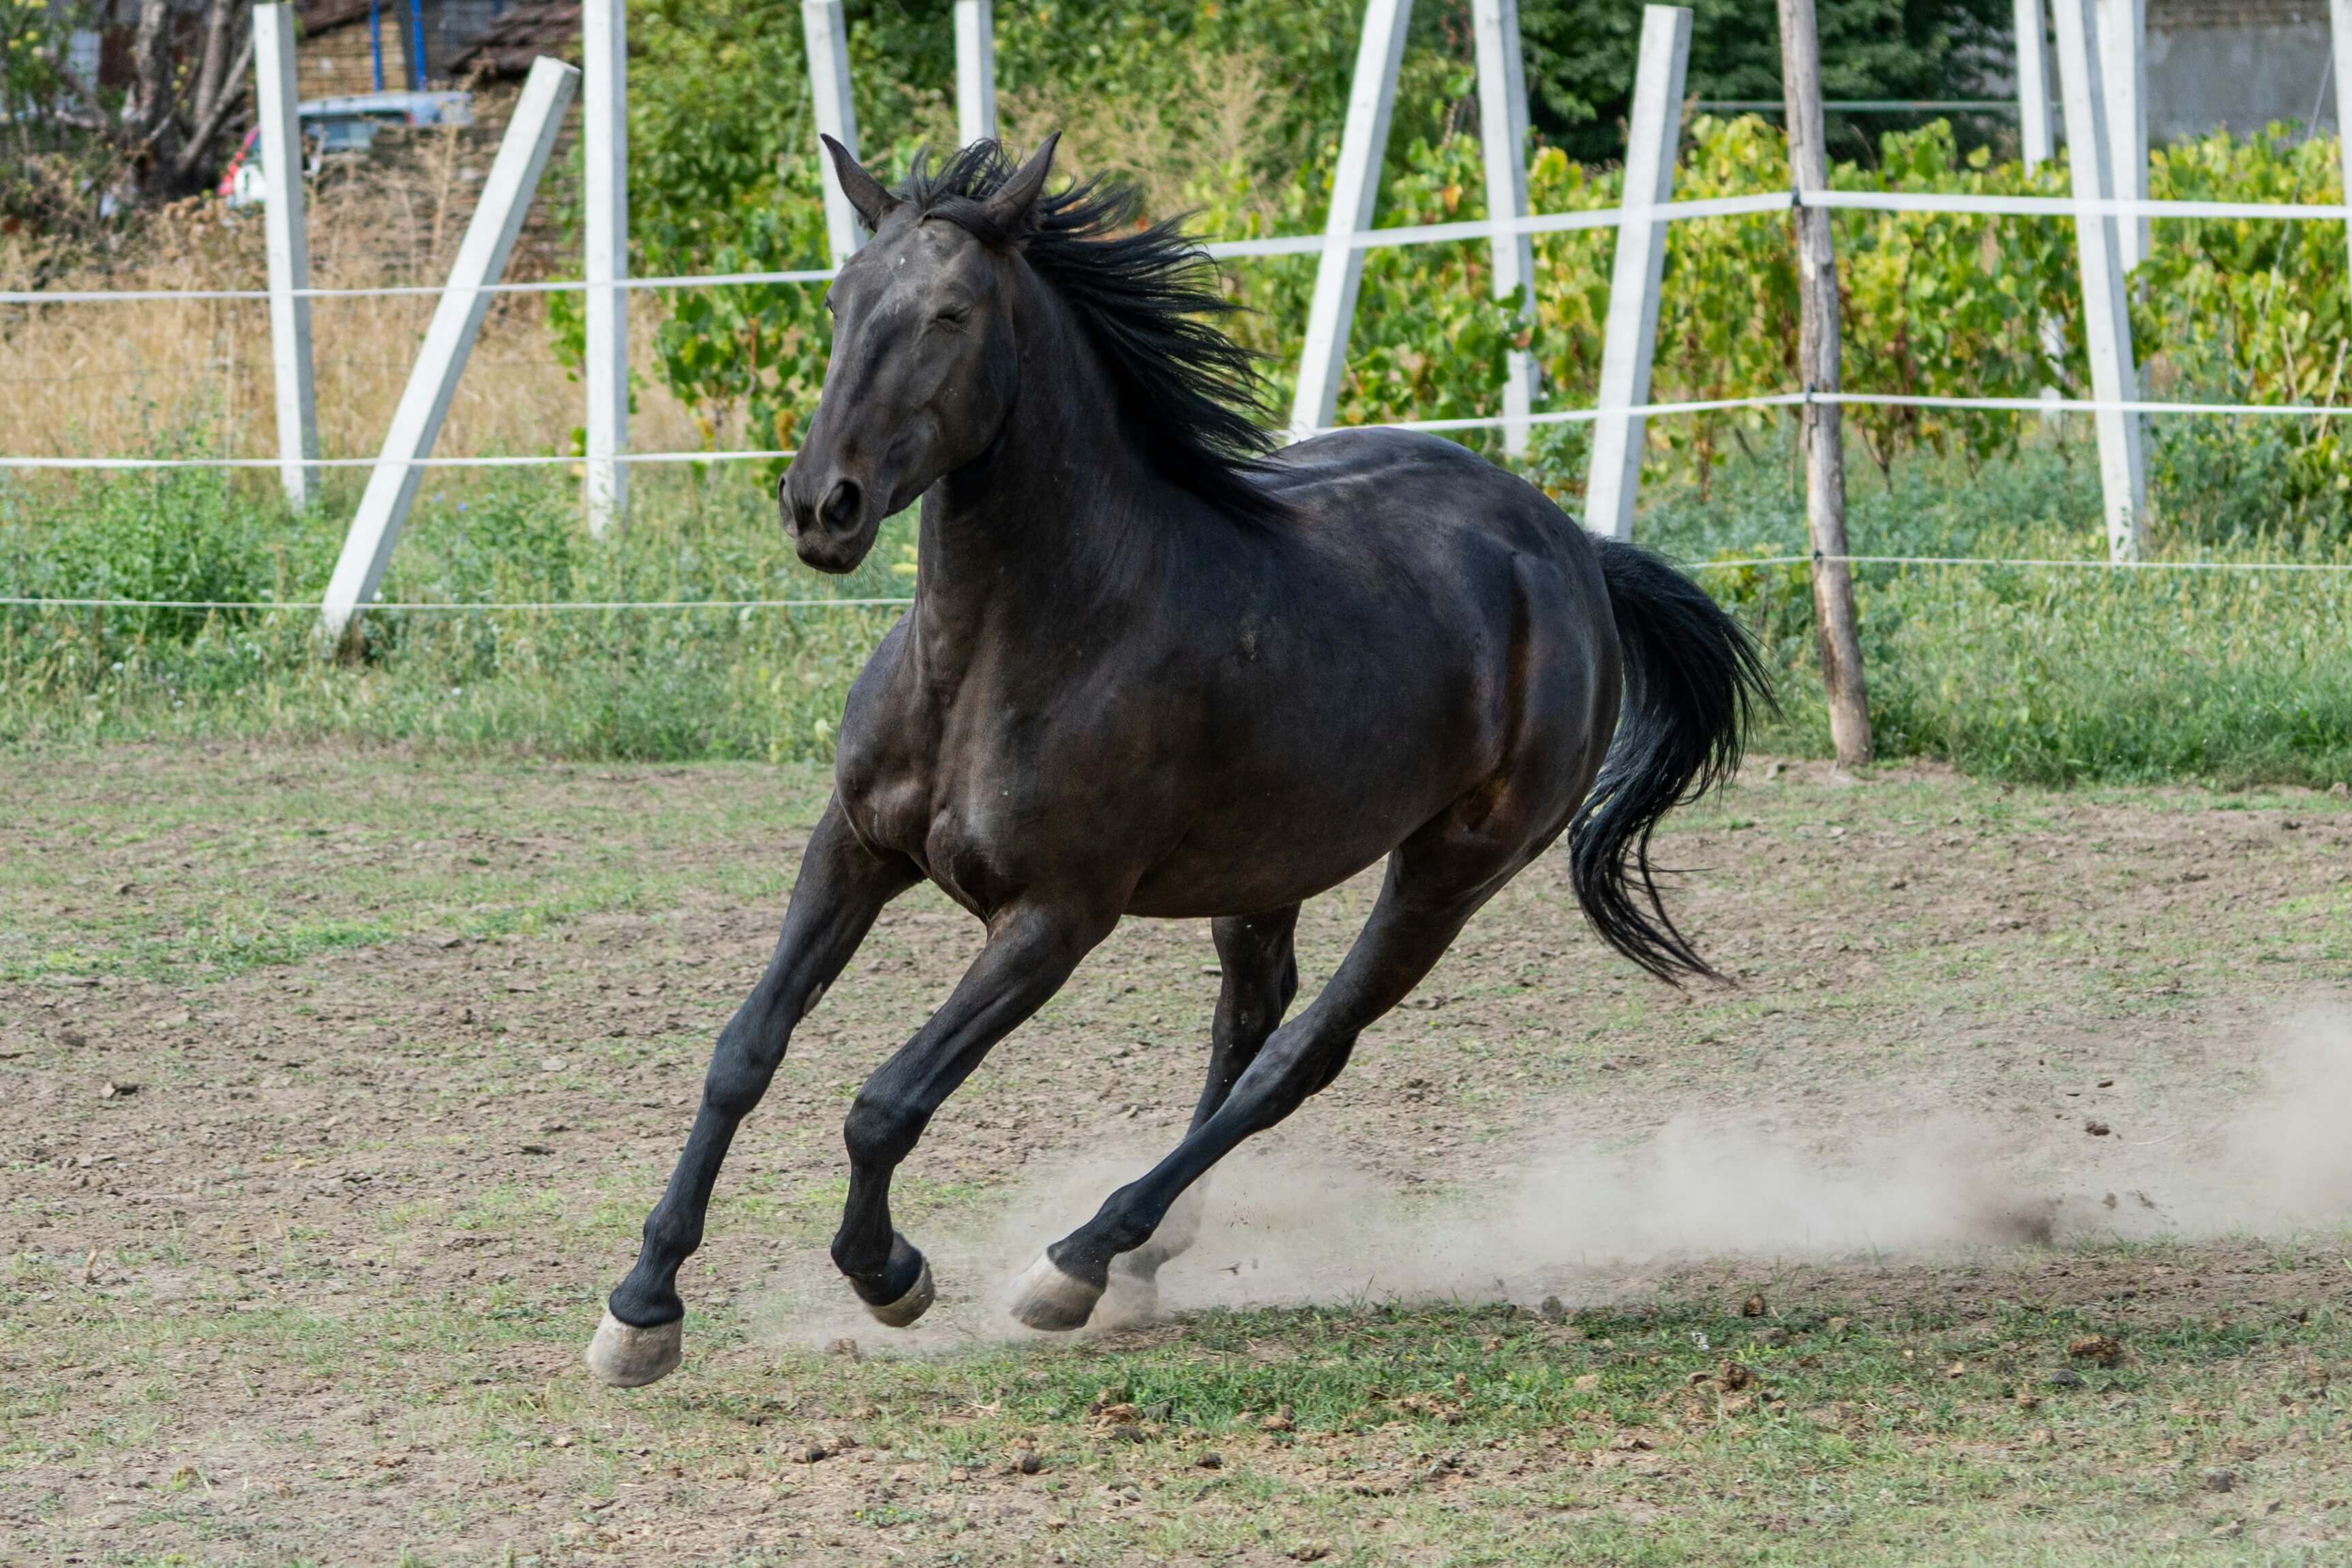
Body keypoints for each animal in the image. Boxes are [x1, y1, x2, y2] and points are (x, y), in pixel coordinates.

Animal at [585, 136, 1767, 1387]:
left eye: (951, 314)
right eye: (841, 300)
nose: (823, 507)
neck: (1008, 650)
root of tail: (1573, 554)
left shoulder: (1055, 918)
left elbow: (886, 1102)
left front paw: (891, 1276)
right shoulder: (854, 848)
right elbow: (743, 1051)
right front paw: (643, 1307)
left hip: (1451, 873)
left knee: (1296, 1058)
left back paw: (1078, 1260)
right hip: (1268, 868)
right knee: (1248, 1027)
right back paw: (1137, 1256)